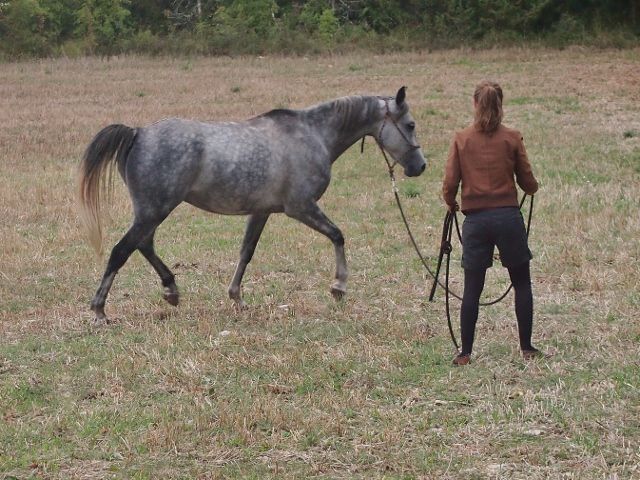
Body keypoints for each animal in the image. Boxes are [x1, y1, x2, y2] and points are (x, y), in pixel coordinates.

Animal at [78, 87, 427, 322]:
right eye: (410, 125)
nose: (420, 166)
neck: (313, 134)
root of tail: (138, 134)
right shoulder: (301, 207)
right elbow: (338, 235)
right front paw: (339, 285)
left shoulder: (261, 212)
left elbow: (246, 252)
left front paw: (236, 298)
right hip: (154, 210)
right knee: (122, 250)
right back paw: (99, 310)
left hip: (152, 212)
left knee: (143, 245)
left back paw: (171, 291)